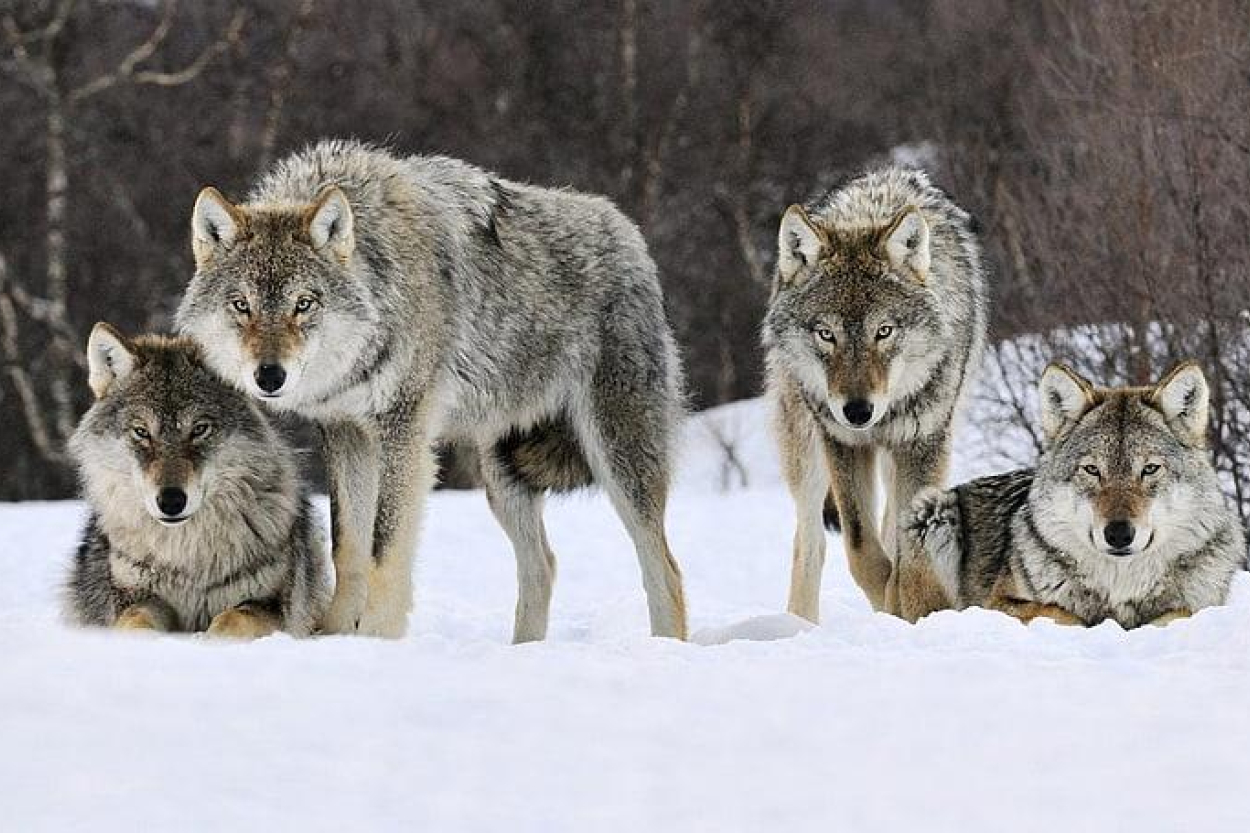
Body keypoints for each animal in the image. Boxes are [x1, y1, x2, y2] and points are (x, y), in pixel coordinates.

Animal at [64, 320, 327, 632]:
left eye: (199, 429)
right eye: (141, 432)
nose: (171, 501)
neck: (186, 557)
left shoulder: (269, 604)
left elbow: (231, 620)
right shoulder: (136, 597)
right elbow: (136, 621)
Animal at [176, 139, 690, 637]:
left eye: (304, 304)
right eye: (241, 305)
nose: (269, 376)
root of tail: (630, 235)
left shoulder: (403, 433)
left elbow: (384, 550)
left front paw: (375, 639)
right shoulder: (346, 433)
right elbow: (348, 547)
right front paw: (335, 635)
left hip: (617, 458)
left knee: (665, 570)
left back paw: (663, 647)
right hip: (502, 475)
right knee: (543, 566)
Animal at [760, 167, 985, 615]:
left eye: (884, 331)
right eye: (826, 334)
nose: (858, 411)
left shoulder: (924, 442)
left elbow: (905, 551)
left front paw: (908, 604)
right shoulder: (842, 443)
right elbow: (861, 548)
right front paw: (888, 601)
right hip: (806, 449)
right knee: (810, 543)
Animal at [900, 360, 1250, 625]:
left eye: (1150, 469)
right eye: (1092, 470)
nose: (1118, 534)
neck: (1120, 588)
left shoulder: (1200, 606)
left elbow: (1179, 612)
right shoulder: (997, 602)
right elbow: (1059, 611)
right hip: (931, 511)